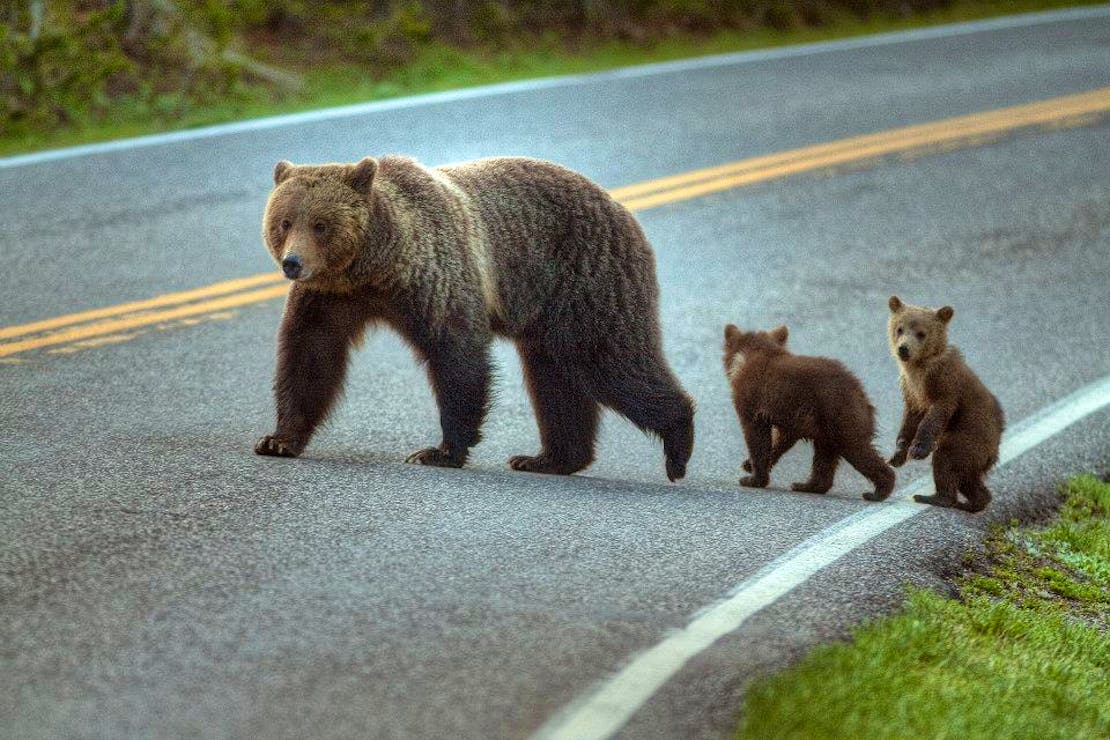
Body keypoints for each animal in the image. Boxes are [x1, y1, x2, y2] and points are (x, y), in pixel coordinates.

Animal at [253, 155, 695, 481]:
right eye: (284, 221)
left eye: (321, 224)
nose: (293, 263)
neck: (374, 266)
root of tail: (623, 207)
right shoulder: (329, 297)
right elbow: (309, 355)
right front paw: (278, 440)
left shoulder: (435, 276)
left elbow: (457, 354)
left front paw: (438, 451)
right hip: (548, 312)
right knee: (554, 379)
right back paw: (547, 458)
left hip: (586, 282)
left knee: (609, 360)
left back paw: (678, 445)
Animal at [724, 324, 895, 501]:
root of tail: (862, 394)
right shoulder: (791, 415)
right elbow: (782, 438)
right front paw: (749, 465)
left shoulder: (753, 400)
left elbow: (757, 437)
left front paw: (752, 478)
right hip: (827, 425)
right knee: (825, 455)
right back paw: (807, 485)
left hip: (841, 415)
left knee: (857, 448)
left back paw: (878, 491)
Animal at [887, 296, 1004, 513]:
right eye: (900, 328)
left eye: (921, 333)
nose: (903, 348)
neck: (919, 368)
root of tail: (992, 453)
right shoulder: (911, 388)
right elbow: (910, 417)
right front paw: (897, 455)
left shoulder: (943, 383)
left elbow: (936, 413)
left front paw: (918, 449)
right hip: (972, 454)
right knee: (967, 477)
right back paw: (974, 502)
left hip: (967, 438)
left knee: (946, 460)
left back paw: (935, 497)